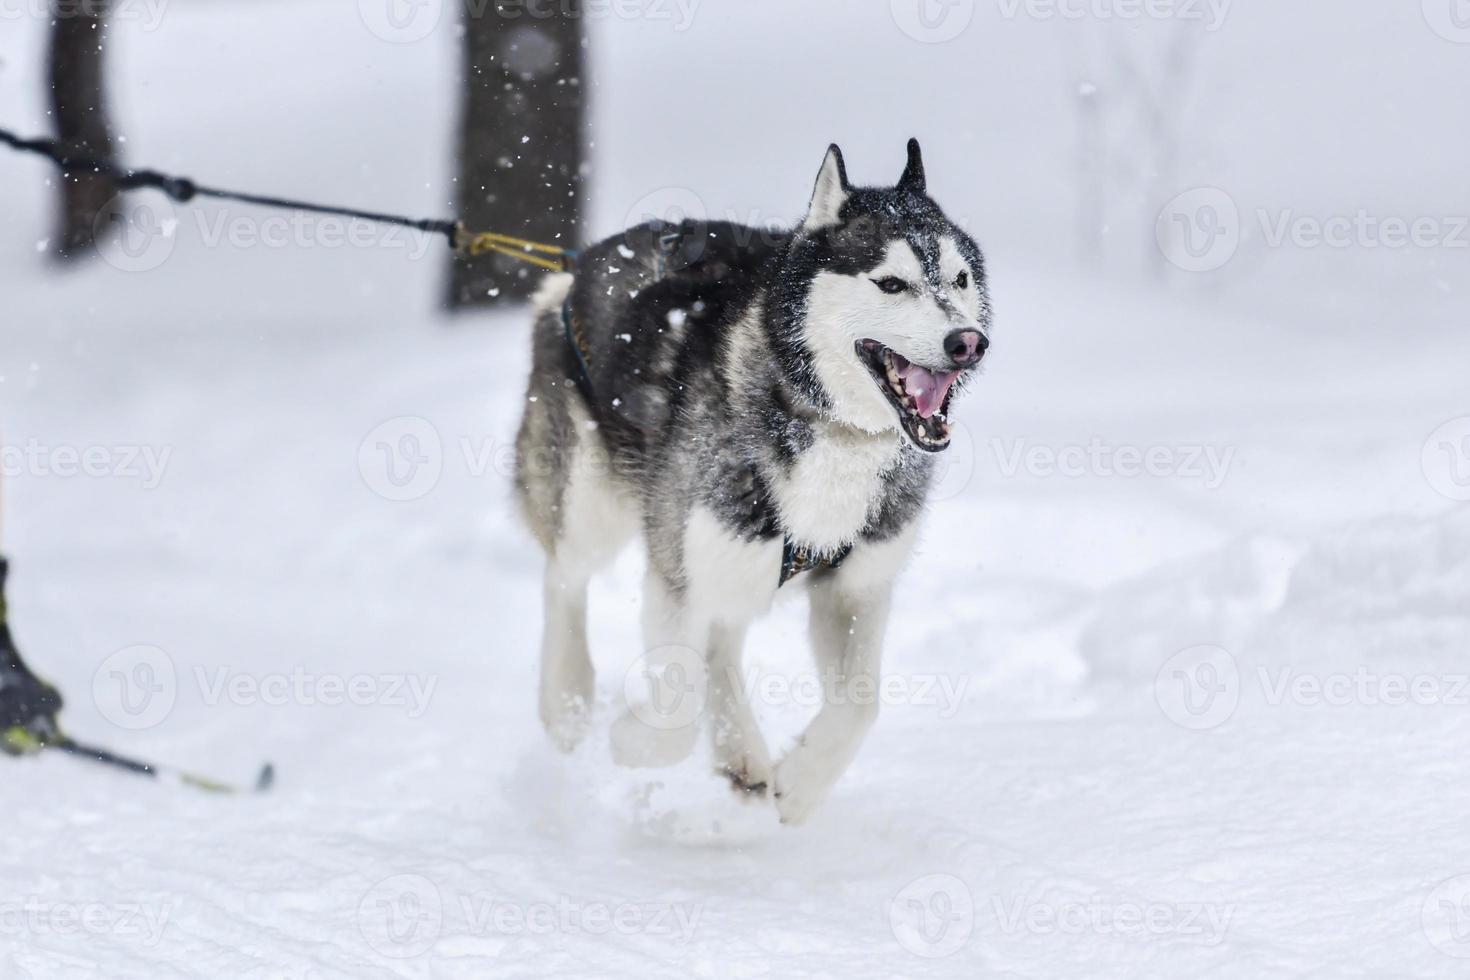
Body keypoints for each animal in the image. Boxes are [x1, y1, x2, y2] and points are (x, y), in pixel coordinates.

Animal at [514, 139, 987, 828]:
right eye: (891, 283)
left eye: (959, 279)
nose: (968, 342)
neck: (830, 427)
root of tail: (570, 275)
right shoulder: (677, 571)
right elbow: (676, 711)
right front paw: (631, 740)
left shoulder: (856, 588)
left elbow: (861, 703)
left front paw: (802, 786)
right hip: (593, 505)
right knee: (564, 580)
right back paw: (568, 700)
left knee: (721, 640)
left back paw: (742, 753)